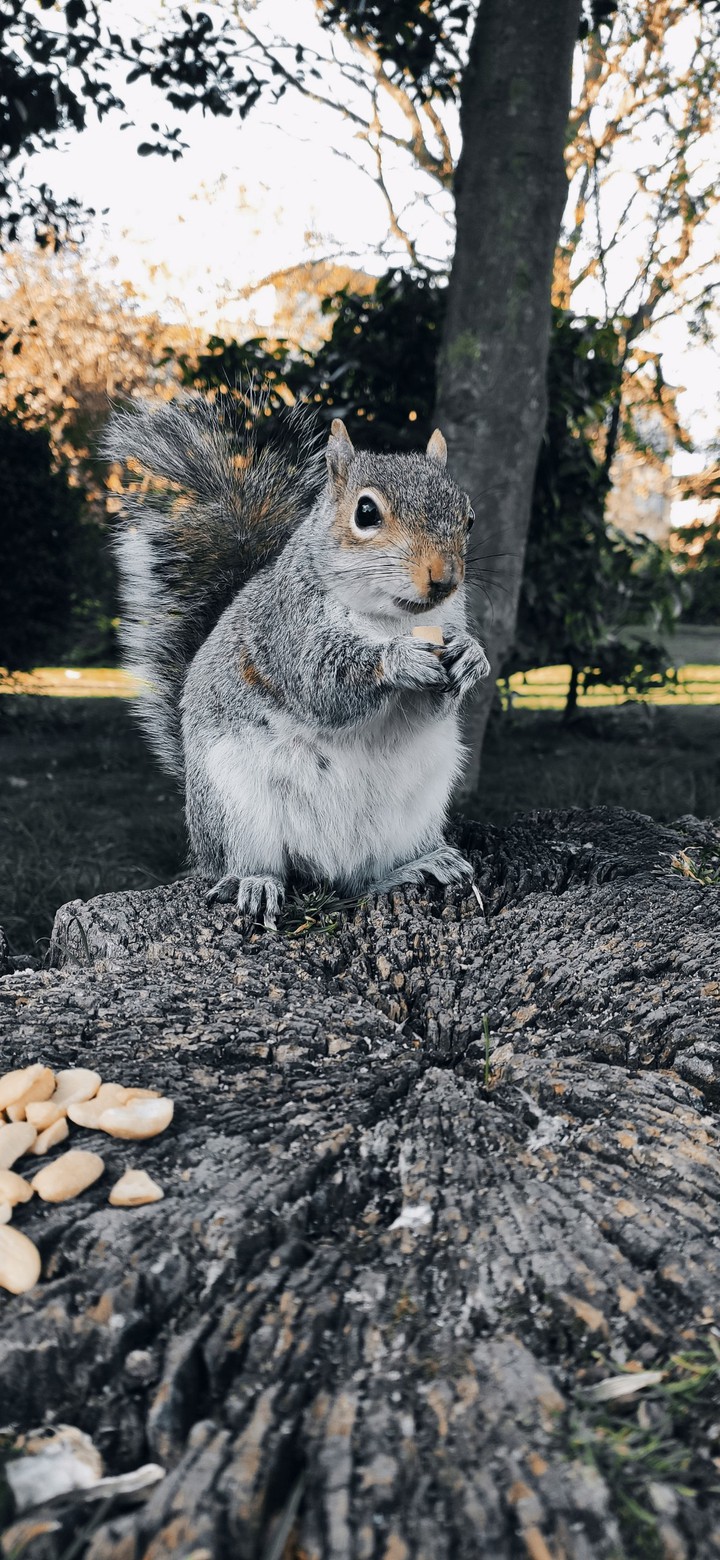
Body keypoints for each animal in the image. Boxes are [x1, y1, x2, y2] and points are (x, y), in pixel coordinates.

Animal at [105, 391, 490, 927]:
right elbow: (321, 684)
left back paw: (420, 864)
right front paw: (398, 659)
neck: (389, 617)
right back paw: (255, 882)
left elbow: (434, 703)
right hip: (236, 804)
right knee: (262, 865)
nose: (445, 578)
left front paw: (473, 656)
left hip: (420, 802)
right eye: (366, 512)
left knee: (362, 880)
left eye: (468, 517)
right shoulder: (286, 629)